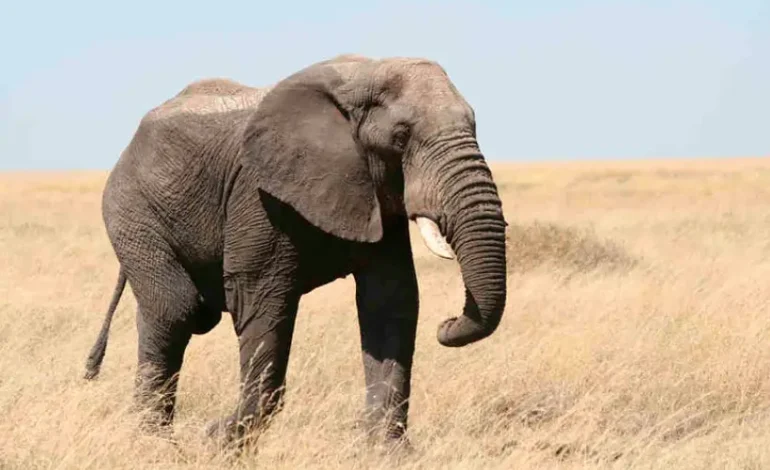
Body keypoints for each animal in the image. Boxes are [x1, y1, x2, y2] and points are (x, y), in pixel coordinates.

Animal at [83, 54, 508, 447]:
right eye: (400, 137)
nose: (447, 324)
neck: (363, 74)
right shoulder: (259, 194)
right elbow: (262, 298)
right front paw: (220, 441)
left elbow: (390, 301)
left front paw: (389, 453)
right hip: (131, 209)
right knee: (175, 308)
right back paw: (153, 441)